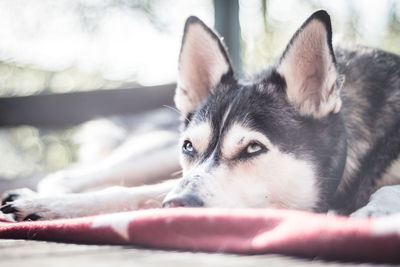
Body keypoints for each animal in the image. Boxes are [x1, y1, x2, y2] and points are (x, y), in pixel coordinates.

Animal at [0, 9, 400, 221]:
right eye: (189, 147)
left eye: (253, 148)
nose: (177, 206)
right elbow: (131, 192)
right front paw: (43, 205)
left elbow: (387, 190)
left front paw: (371, 212)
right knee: (75, 176)